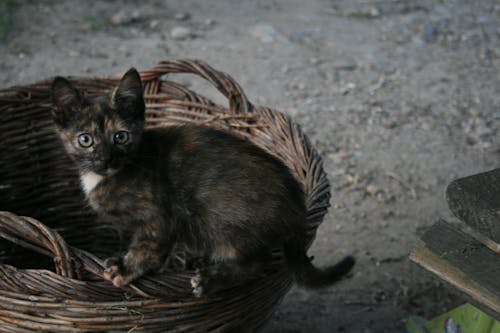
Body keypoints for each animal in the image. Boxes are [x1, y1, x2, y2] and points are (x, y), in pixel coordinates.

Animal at [51, 68, 356, 296]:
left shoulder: (157, 217)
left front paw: (127, 269)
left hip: (221, 219)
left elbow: (148, 246)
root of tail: (298, 209)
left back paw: (211, 279)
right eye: (85, 140)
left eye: (120, 137)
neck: (107, 176)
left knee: (257, 262)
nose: (106, 159)